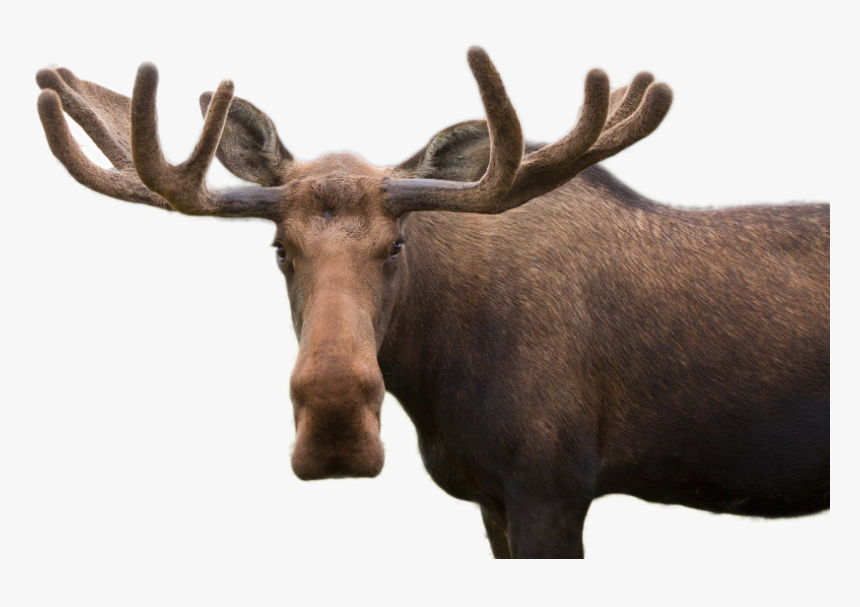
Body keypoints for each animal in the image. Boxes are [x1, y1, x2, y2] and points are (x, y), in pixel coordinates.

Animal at [36, 47, 829, 558]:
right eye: (280, 249)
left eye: (396, 245)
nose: (335, 429)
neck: (435, 378)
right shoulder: (492, 494)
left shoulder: (552, 484)